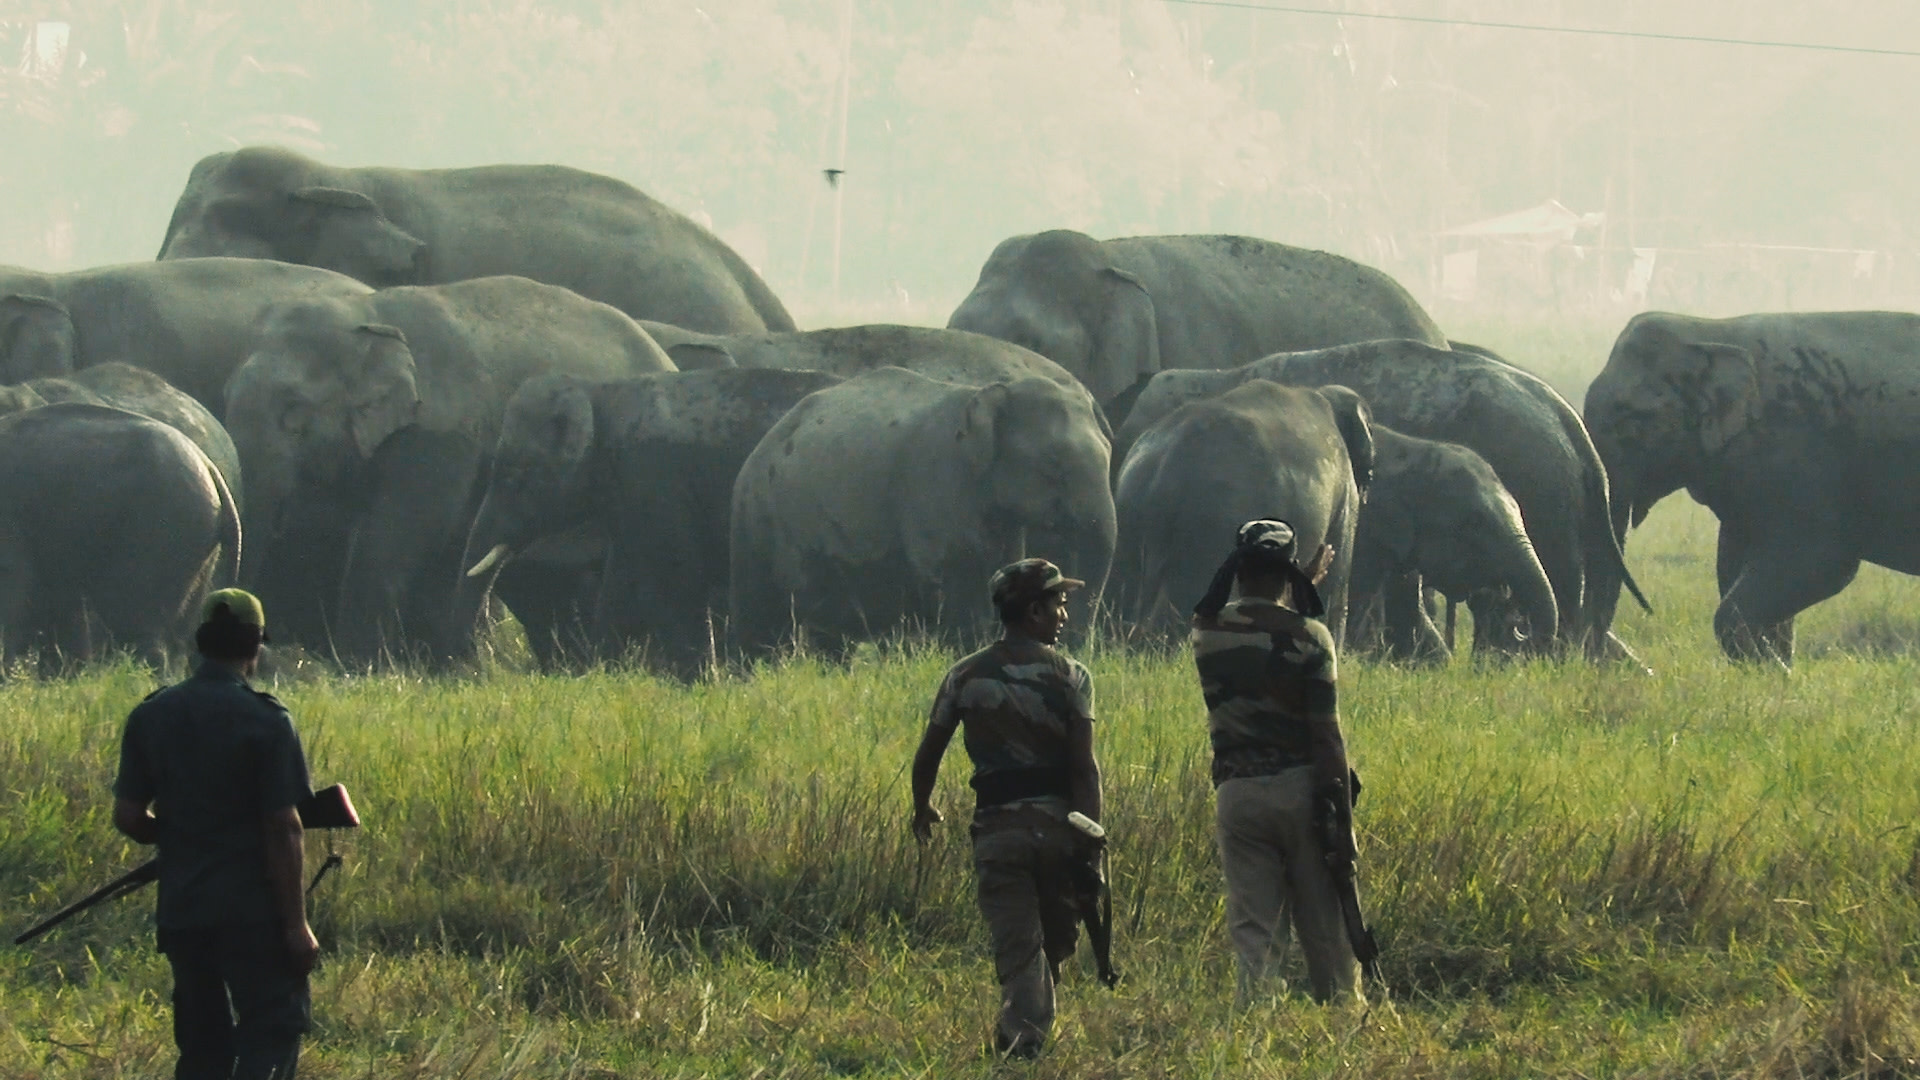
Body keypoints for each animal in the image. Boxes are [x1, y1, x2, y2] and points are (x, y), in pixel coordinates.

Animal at [222, 275, 676, 663]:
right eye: (226, 399)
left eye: (293, 413)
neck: (368, 314)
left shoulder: (439, 438)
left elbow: (395, 537)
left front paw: (357, 666)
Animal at [457, 368, 846, 675]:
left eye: (513, 476)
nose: (475, 671)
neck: (599, 392)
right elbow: (622, 582)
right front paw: (603, 676)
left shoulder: (653, 481)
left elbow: (675, 577)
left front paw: (697, 682)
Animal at [730, 368, 1116, 657]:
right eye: (1053, 463)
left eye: (1110, 452)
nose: (1067, 646)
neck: (982, 395)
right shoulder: (936, 485)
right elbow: (956, 586)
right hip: (762, 525)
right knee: (767, 617)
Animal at [1586, 311, 1920, 665]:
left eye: (1628, 417)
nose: (1641, 665)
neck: (1707, 330)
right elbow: (1733, 560)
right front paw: (1774, 664)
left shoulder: (1796, 455)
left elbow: (1823, 562)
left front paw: (1772, 668)